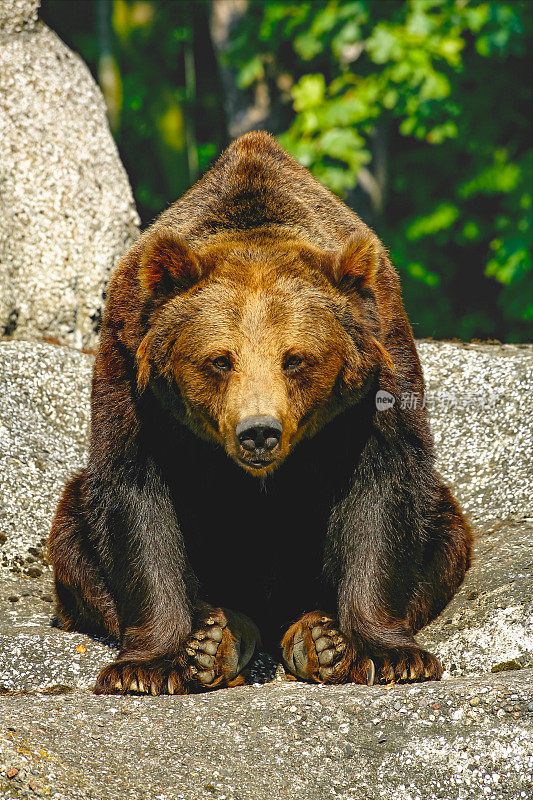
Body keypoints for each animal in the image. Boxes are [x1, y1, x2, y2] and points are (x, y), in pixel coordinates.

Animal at [46, 131, 470, 692]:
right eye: (220, 360)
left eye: (295, 359)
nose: (259, 433)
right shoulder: (131, 369)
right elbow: (133, 497)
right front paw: (146, 667)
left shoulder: (379, 369)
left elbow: (384, 489)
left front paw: (391, 655)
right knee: (73, 534)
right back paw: (216, 640)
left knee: (445, 532)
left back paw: (317, 639)